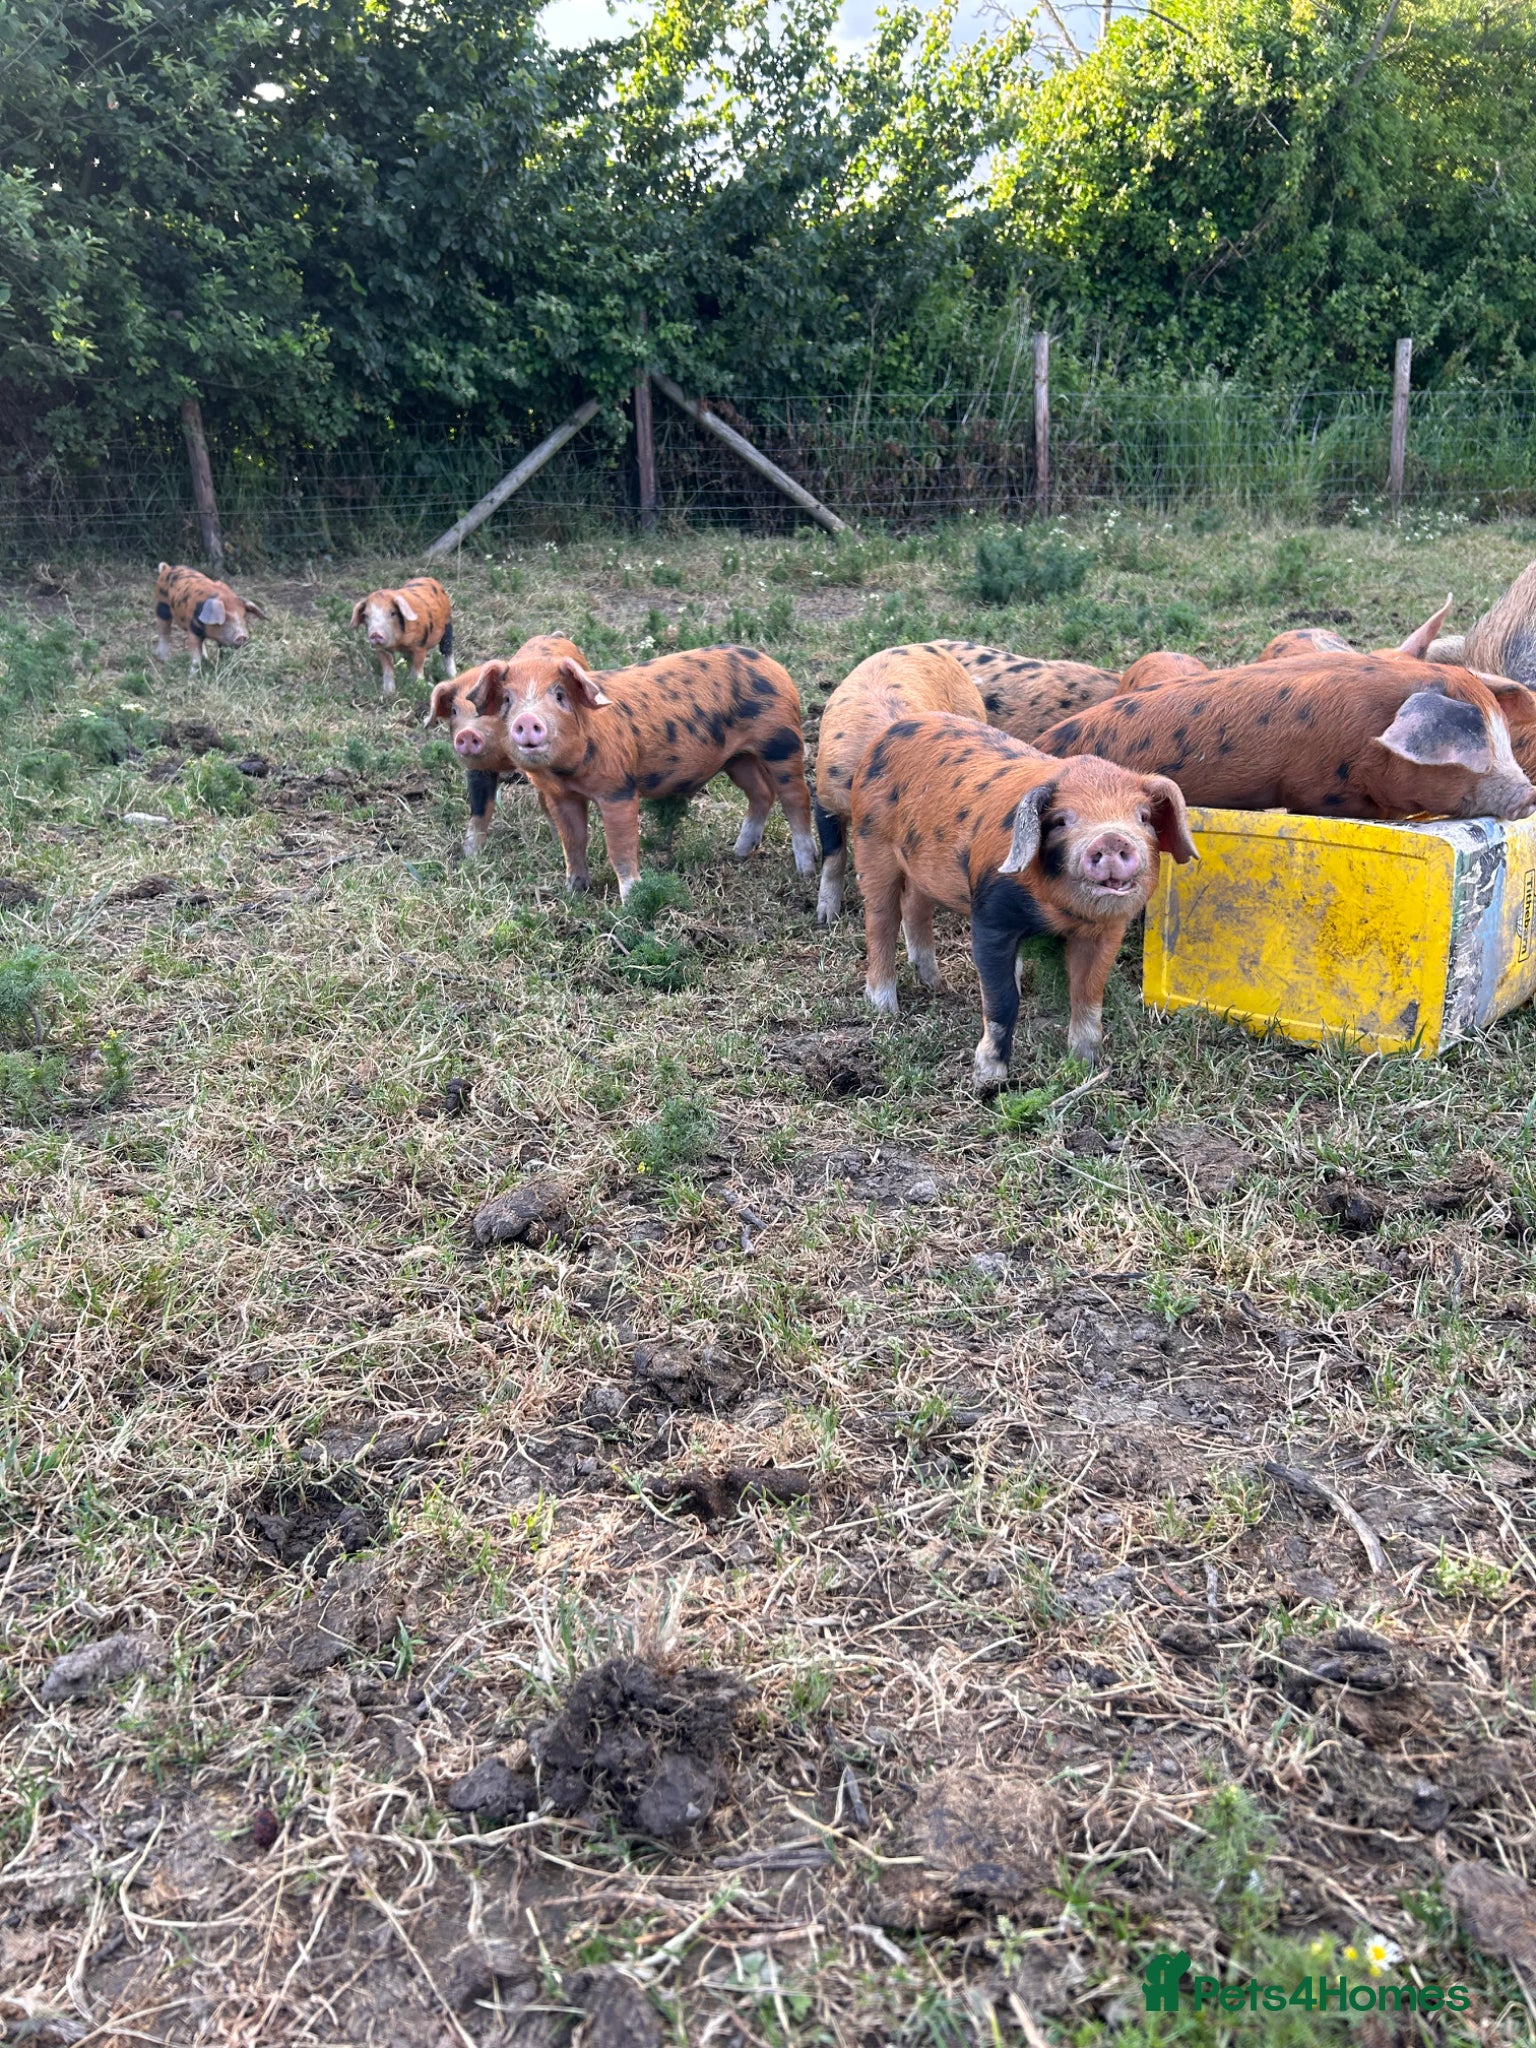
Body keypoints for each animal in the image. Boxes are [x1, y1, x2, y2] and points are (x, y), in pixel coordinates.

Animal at [425, 636, 587, 858]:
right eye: (454, 711)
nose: (467, 733)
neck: (505, 761)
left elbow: (549, 805)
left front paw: (556, 847)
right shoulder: (479, 770)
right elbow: (479, 810)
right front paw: (469, 856)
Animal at [450, 643, 817, 899]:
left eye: (559, 695)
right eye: (508, 700)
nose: (527, 720)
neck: (566, 773)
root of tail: (771, 664)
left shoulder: (618, 788)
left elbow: (620, 847)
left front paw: (631, 899)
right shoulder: (559, 796)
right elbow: (573, 841)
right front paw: (573, 891)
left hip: (781, 741)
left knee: (796, 798)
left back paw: (805, 869)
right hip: (737, 758)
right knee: (761, 793)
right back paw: (738, 853)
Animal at [850, 712, 1196, 1087]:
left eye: (1143, 817)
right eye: (1060, 821)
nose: (1111, 837)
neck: (1056, 913)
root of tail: (891, 731)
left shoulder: (1105, 931)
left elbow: (1089, 994)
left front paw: (1087, 1064)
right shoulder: (990, 917)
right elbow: (1002, 999)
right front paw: (988, 1077)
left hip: (921, 869)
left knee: (915, 906)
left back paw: (936, 985)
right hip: (871, 842)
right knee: (881, 920)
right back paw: (885, 1007)